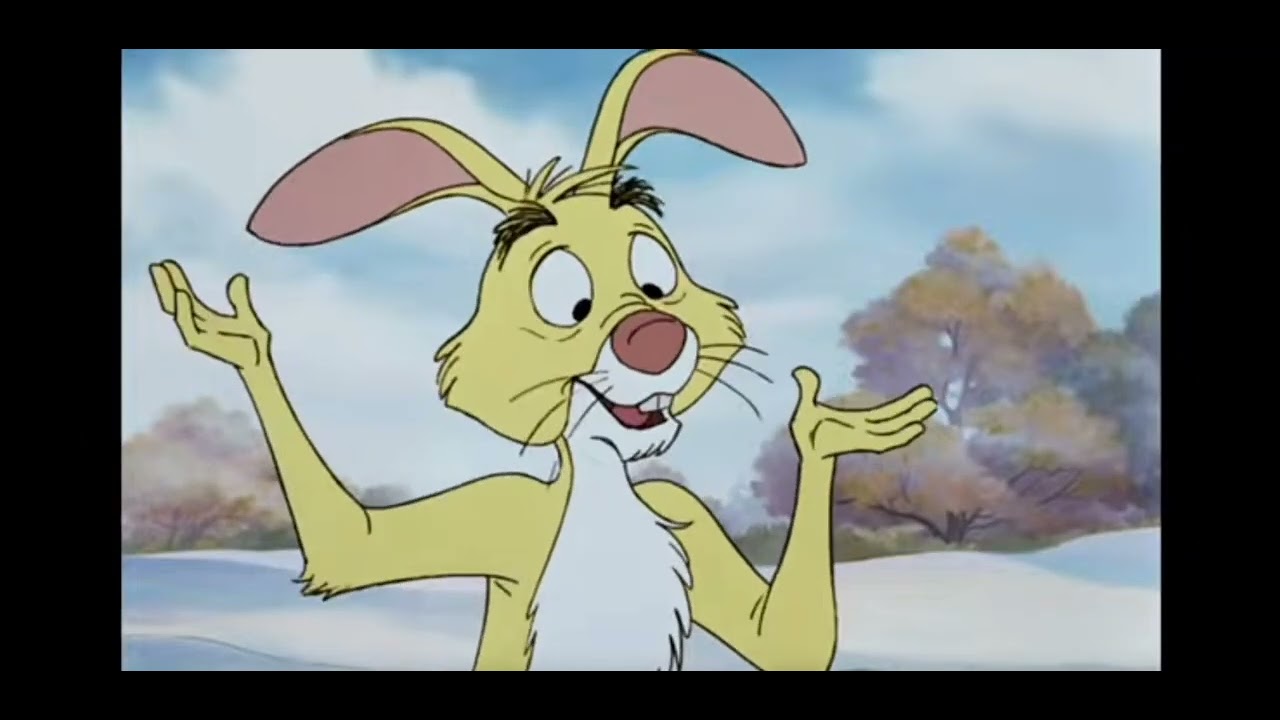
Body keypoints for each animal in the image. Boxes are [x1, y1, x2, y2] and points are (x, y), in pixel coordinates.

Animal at [148, 48, 938, 671]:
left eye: (657, 278)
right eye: (568, 303)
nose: (654, 334)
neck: (605, 482)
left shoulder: (681, 510)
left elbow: (780, 640)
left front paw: (825, 433)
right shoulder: (503, 509)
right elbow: (354, 548)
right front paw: (241, 339)